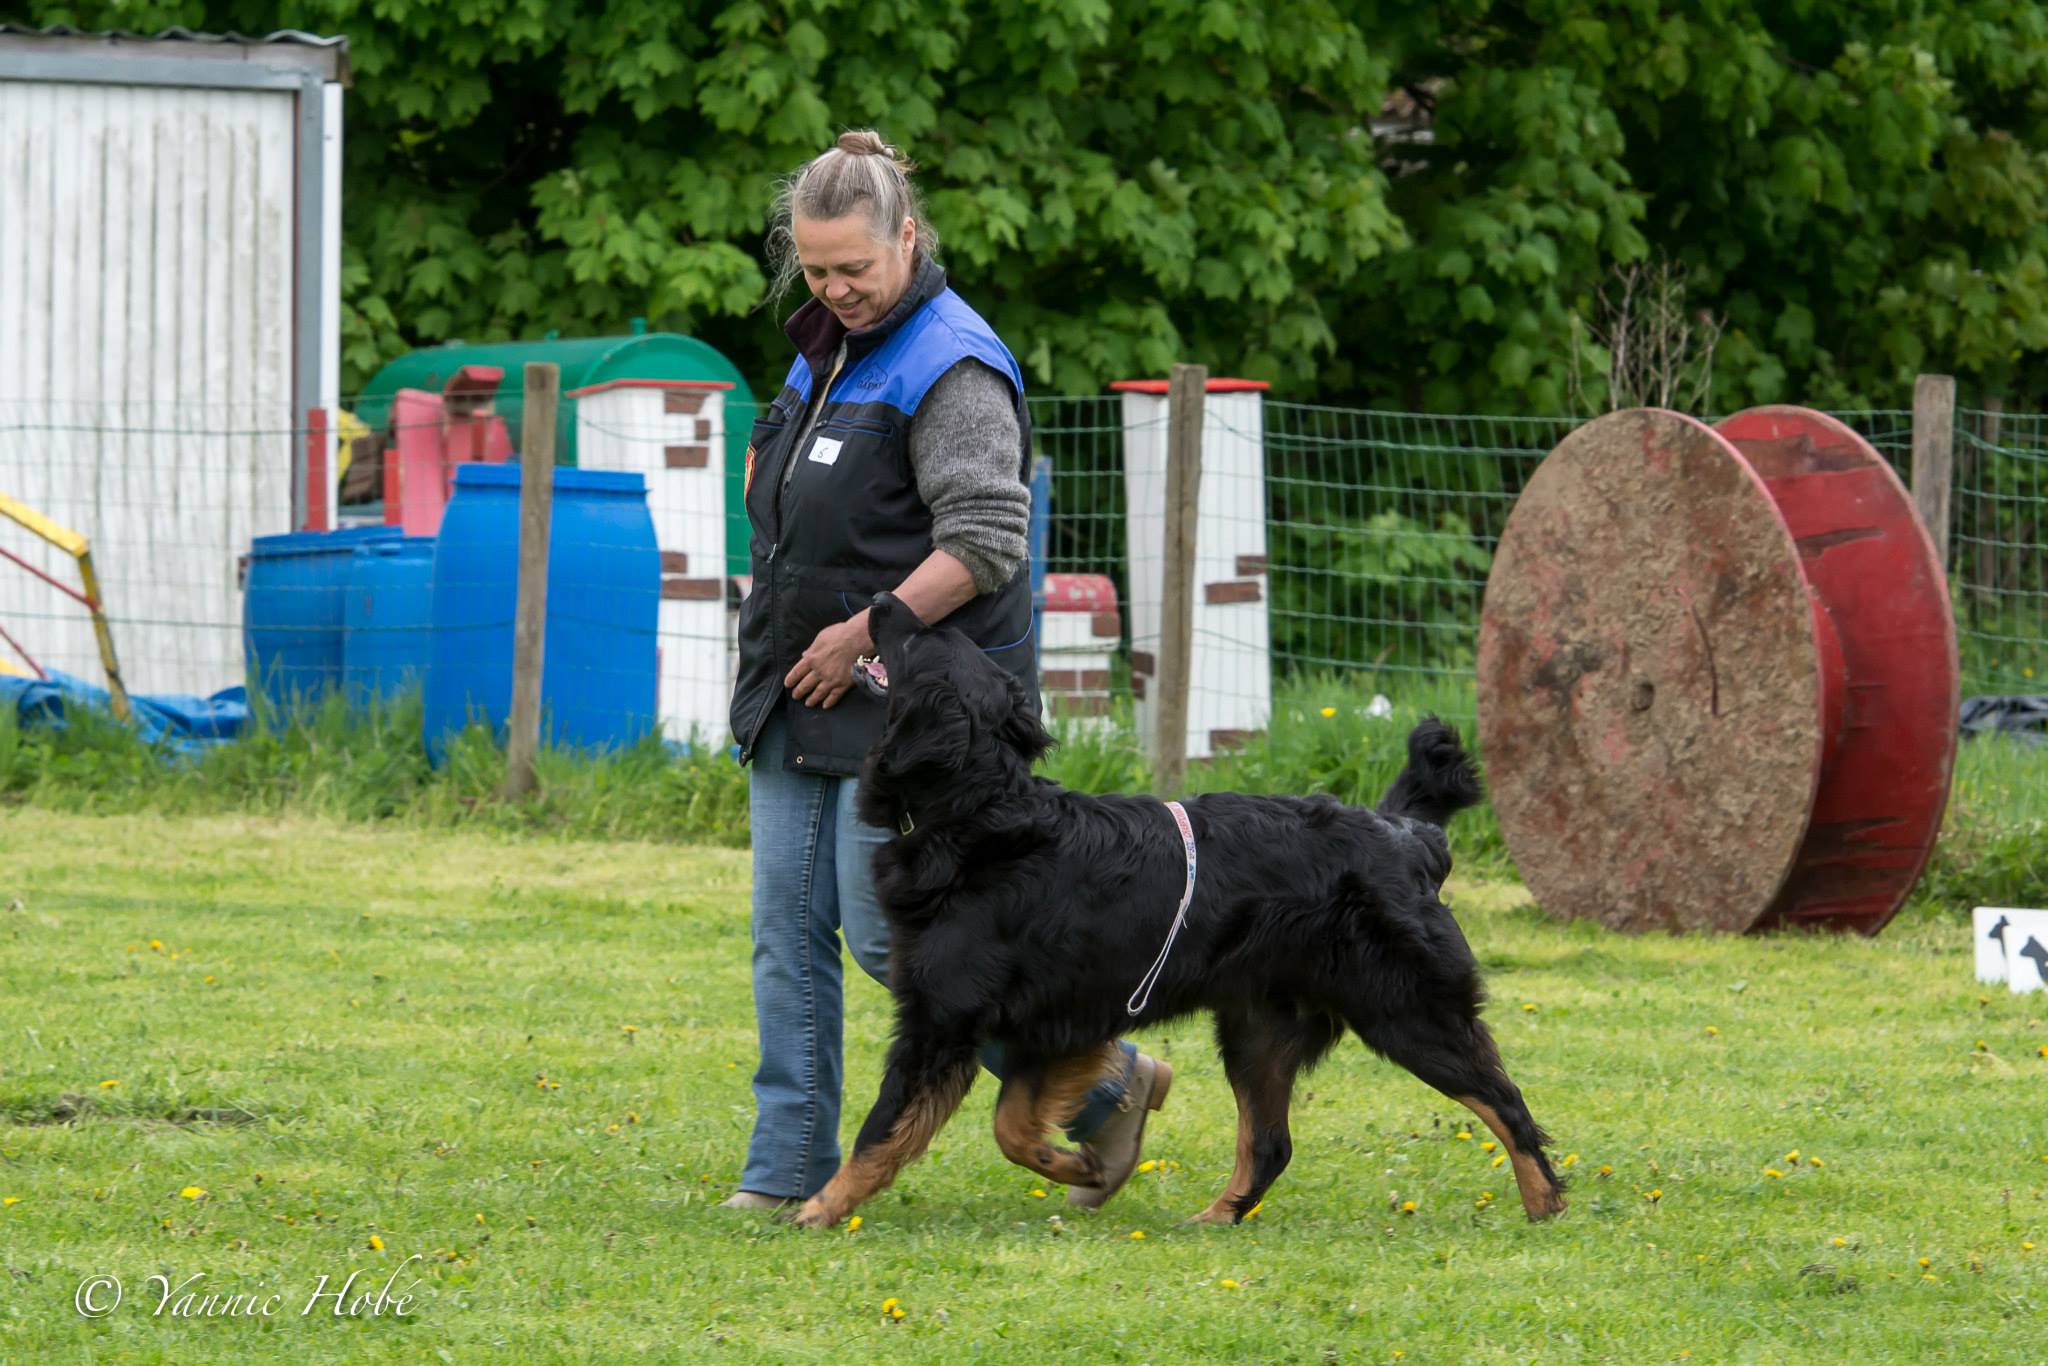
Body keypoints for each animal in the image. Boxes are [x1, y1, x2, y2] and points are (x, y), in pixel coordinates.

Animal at [790, 593, 1556, 1228]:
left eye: (919, 640)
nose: (883, 599)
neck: (977, 810)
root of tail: (1408, 834)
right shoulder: (1052, 1021)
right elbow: (1013, 1126)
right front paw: (1079, 1165)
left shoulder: (943, 1021)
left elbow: (884, 1128)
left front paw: (818, 1210)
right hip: (1257, 1029)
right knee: (1271, 1144)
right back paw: (1215, 1218)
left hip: (1405, 1012)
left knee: (1506, 1102)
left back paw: (1545, 1202)